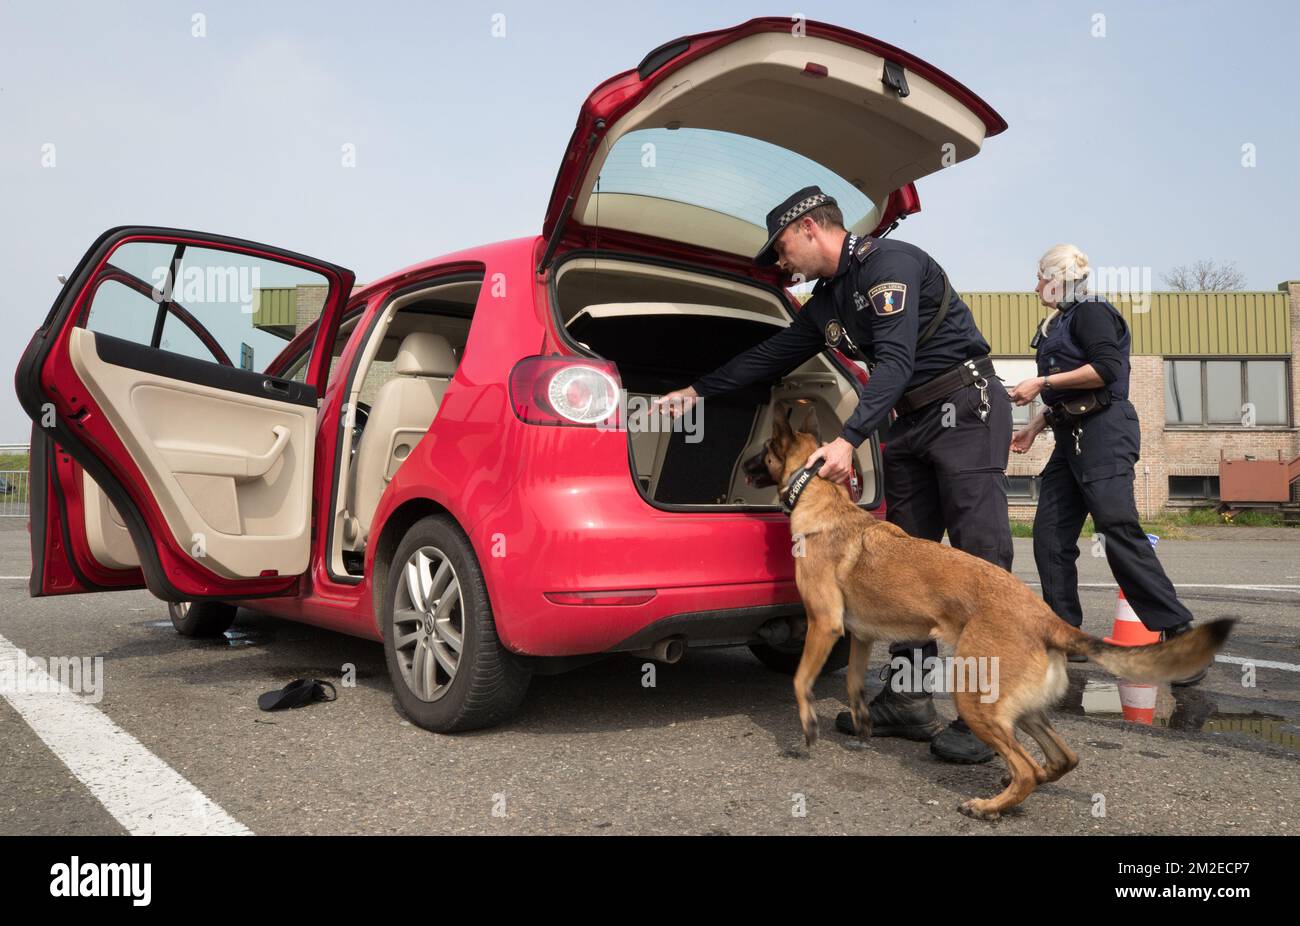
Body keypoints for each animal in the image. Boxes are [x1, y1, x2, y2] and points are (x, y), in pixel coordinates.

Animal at [748, 405, 1232, 816]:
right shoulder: (860, 635)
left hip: (975, 695)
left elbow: (800, 680)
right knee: (1061, 759)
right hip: (1022, 710)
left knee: (1028, 769)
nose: (743, 463)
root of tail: (1048, 619)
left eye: (764, 449)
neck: (820, 495)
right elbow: (852, 682)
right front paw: (863, 721)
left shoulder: (824, 625)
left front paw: (808, 725)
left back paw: (988, 806)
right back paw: (1009, 785)